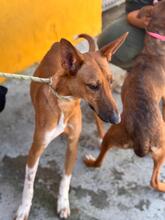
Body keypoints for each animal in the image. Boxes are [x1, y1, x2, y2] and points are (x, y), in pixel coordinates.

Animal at [14, 32, 127, 218]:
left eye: (110, 81)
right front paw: (24, 209)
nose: (117, 119)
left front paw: (63, 204)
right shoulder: (36, 148)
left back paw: (102, 137)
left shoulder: (73, 144)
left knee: (98, 121)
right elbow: (29, 185)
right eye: (93, 86)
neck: (65, 104)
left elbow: (65, 179)